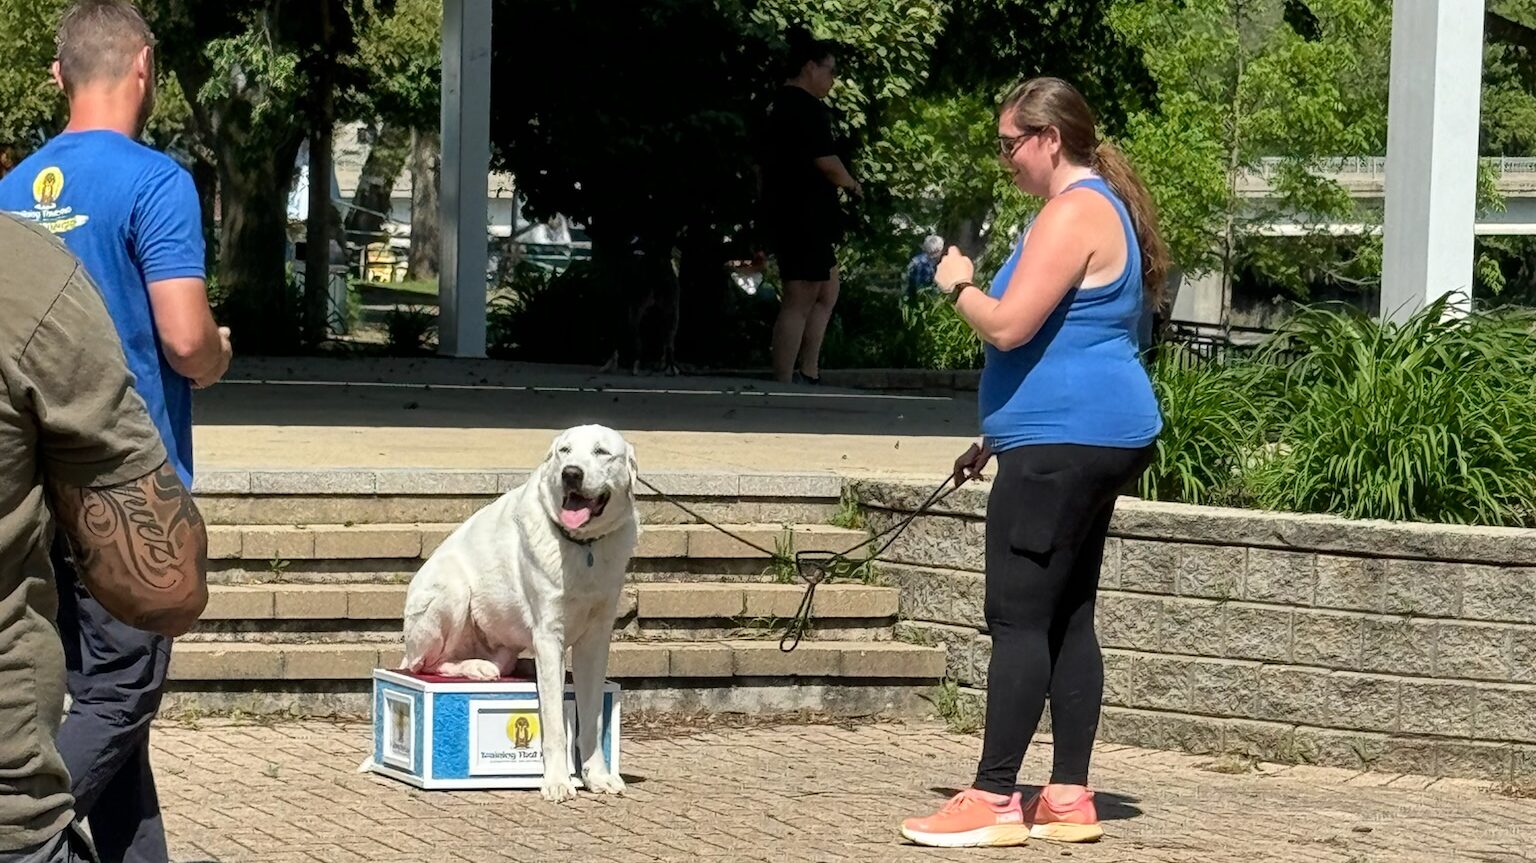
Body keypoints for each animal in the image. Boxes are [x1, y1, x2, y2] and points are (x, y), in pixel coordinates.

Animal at [399, 423, 638, 798]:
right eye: (565, 451)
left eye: (601, 452)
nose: (571, 474)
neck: (583, 547)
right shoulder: (549, 632)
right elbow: (554, 722)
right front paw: (557, 781)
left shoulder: (597, 639)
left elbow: (591, 718)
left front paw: (596, 775)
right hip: (452, 590)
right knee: (425, 664)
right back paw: (476, 668)